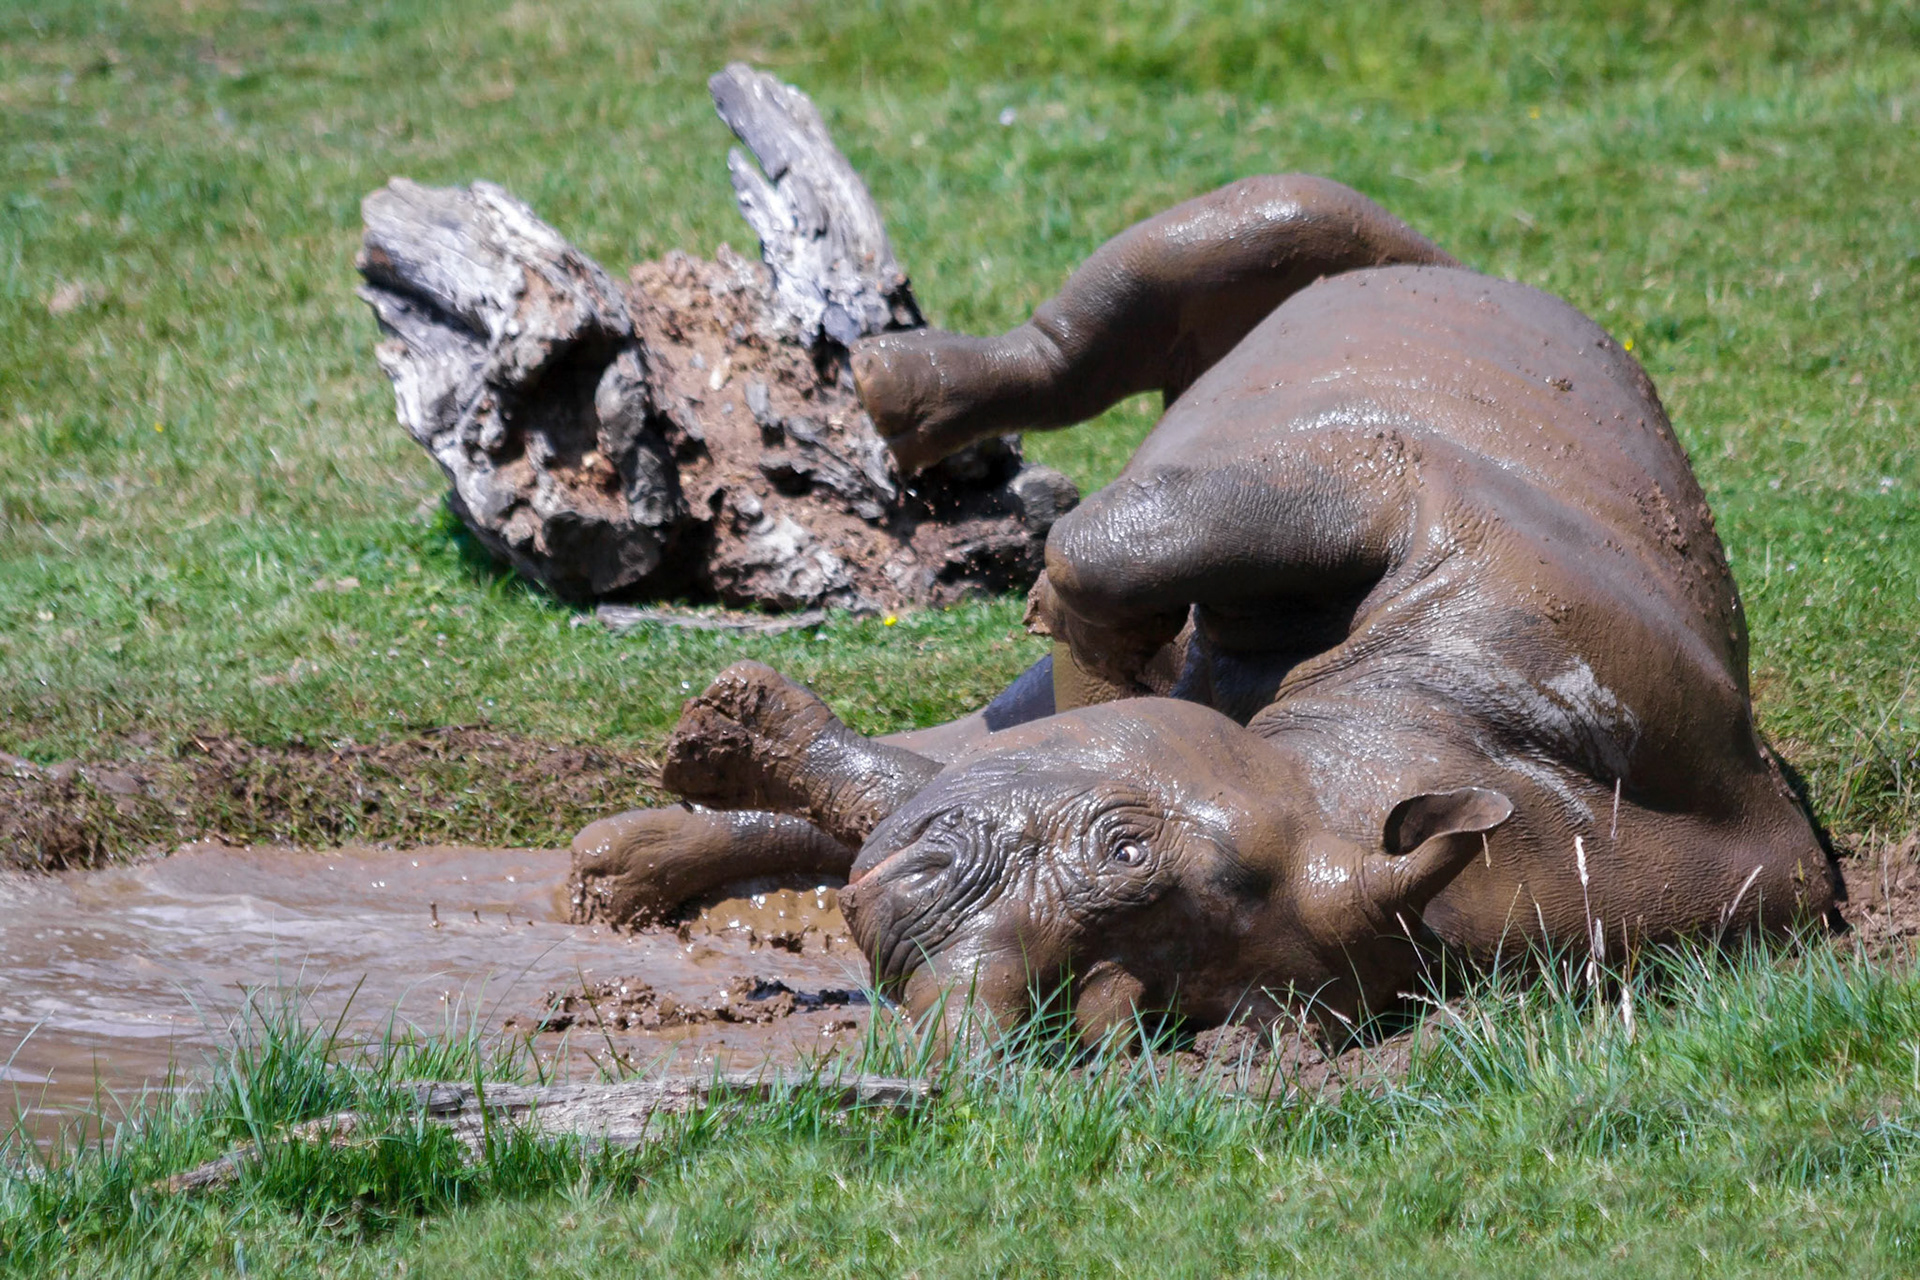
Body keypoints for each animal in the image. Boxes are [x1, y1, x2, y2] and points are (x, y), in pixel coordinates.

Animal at [571, 175, 1839, 1038]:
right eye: (1124, 840)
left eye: (1126, 1008)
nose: (948, 981)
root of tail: (1510, 281)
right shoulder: (1392, 489)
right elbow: (1124, 553)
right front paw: (1083, 653)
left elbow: (921, 774)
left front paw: (711, 755)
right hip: (1384, 299)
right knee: (1221, 251)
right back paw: (897, 394)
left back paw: (616, 868)